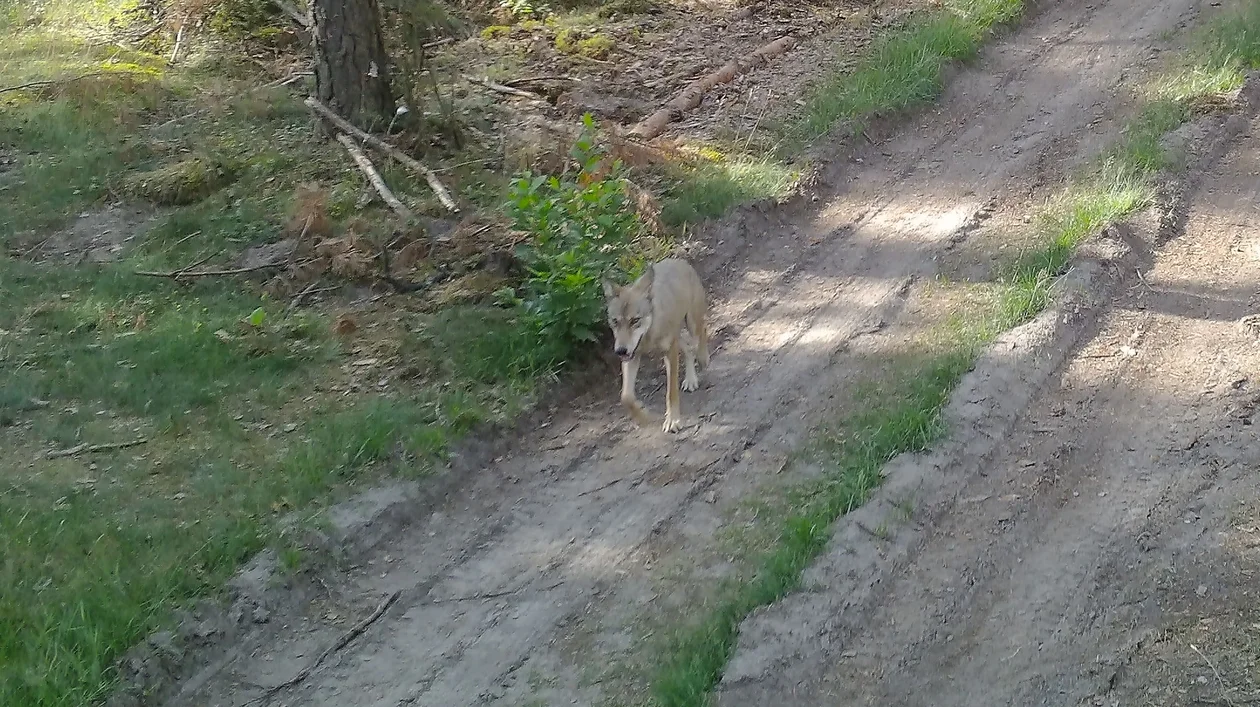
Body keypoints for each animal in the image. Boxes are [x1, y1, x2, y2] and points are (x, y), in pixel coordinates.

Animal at [599, 255, 710, 433]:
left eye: (635, 320)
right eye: (615, 321)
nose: (620, 351)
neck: (649, 336)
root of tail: (679, 261)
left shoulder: (670, 352)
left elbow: (671, 393)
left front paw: (673, 421)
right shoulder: (632, 356)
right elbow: (626, 397)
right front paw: (643, 417)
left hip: (692, 323)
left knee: (701, 334)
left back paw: (703, 359)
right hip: (678, 335)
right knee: (688, 348)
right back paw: (690, 380)